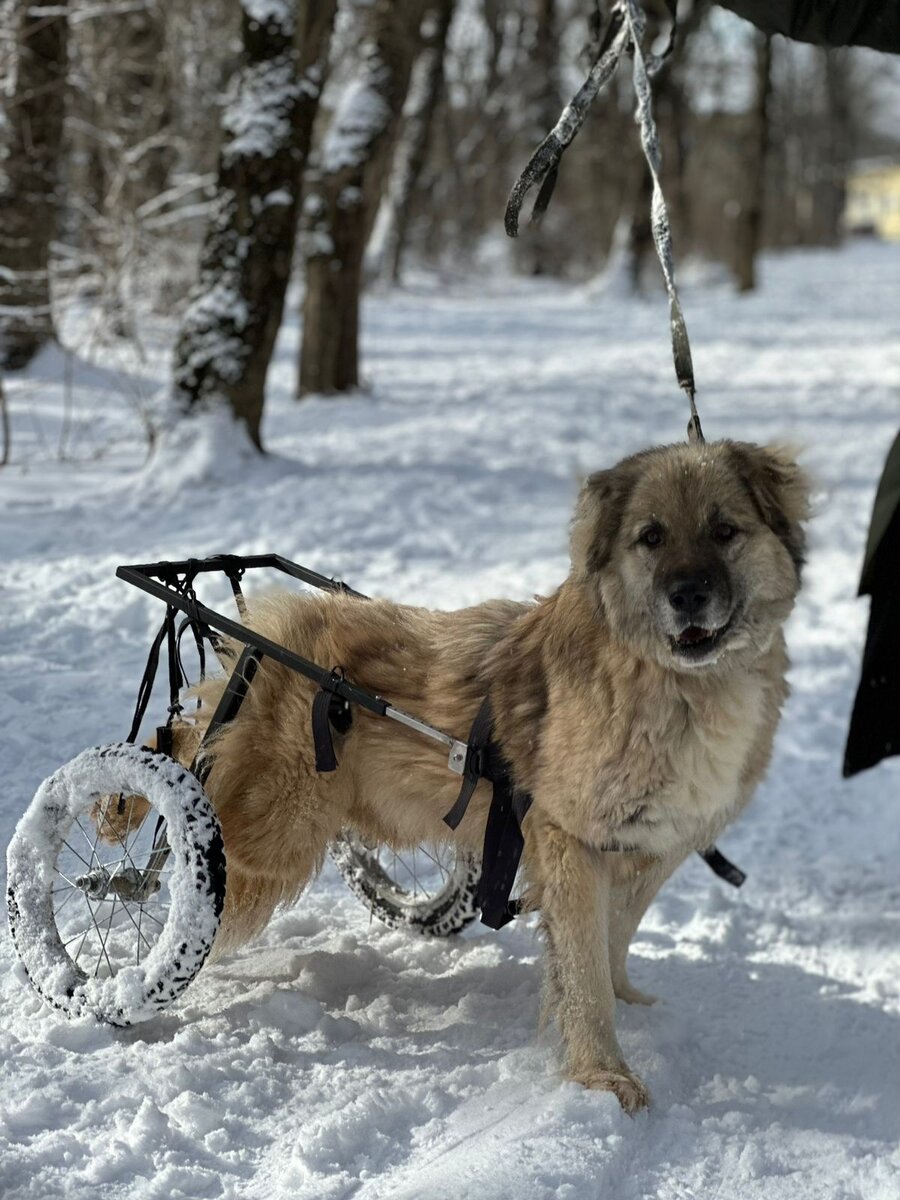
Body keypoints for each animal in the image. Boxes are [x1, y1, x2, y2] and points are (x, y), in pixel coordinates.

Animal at [98, 436, 811, 1108]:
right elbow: (584, 970)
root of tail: (274, 627)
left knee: (196, 735)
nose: (688, 595)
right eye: (652, 536)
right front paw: (603, 1075)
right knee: (182, 754)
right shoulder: (572, 844)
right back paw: (112, 849)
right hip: (271, 828)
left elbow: (610, 947)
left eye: (725, 530)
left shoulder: (648, 850)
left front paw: (628, 1011)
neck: (677, 687)